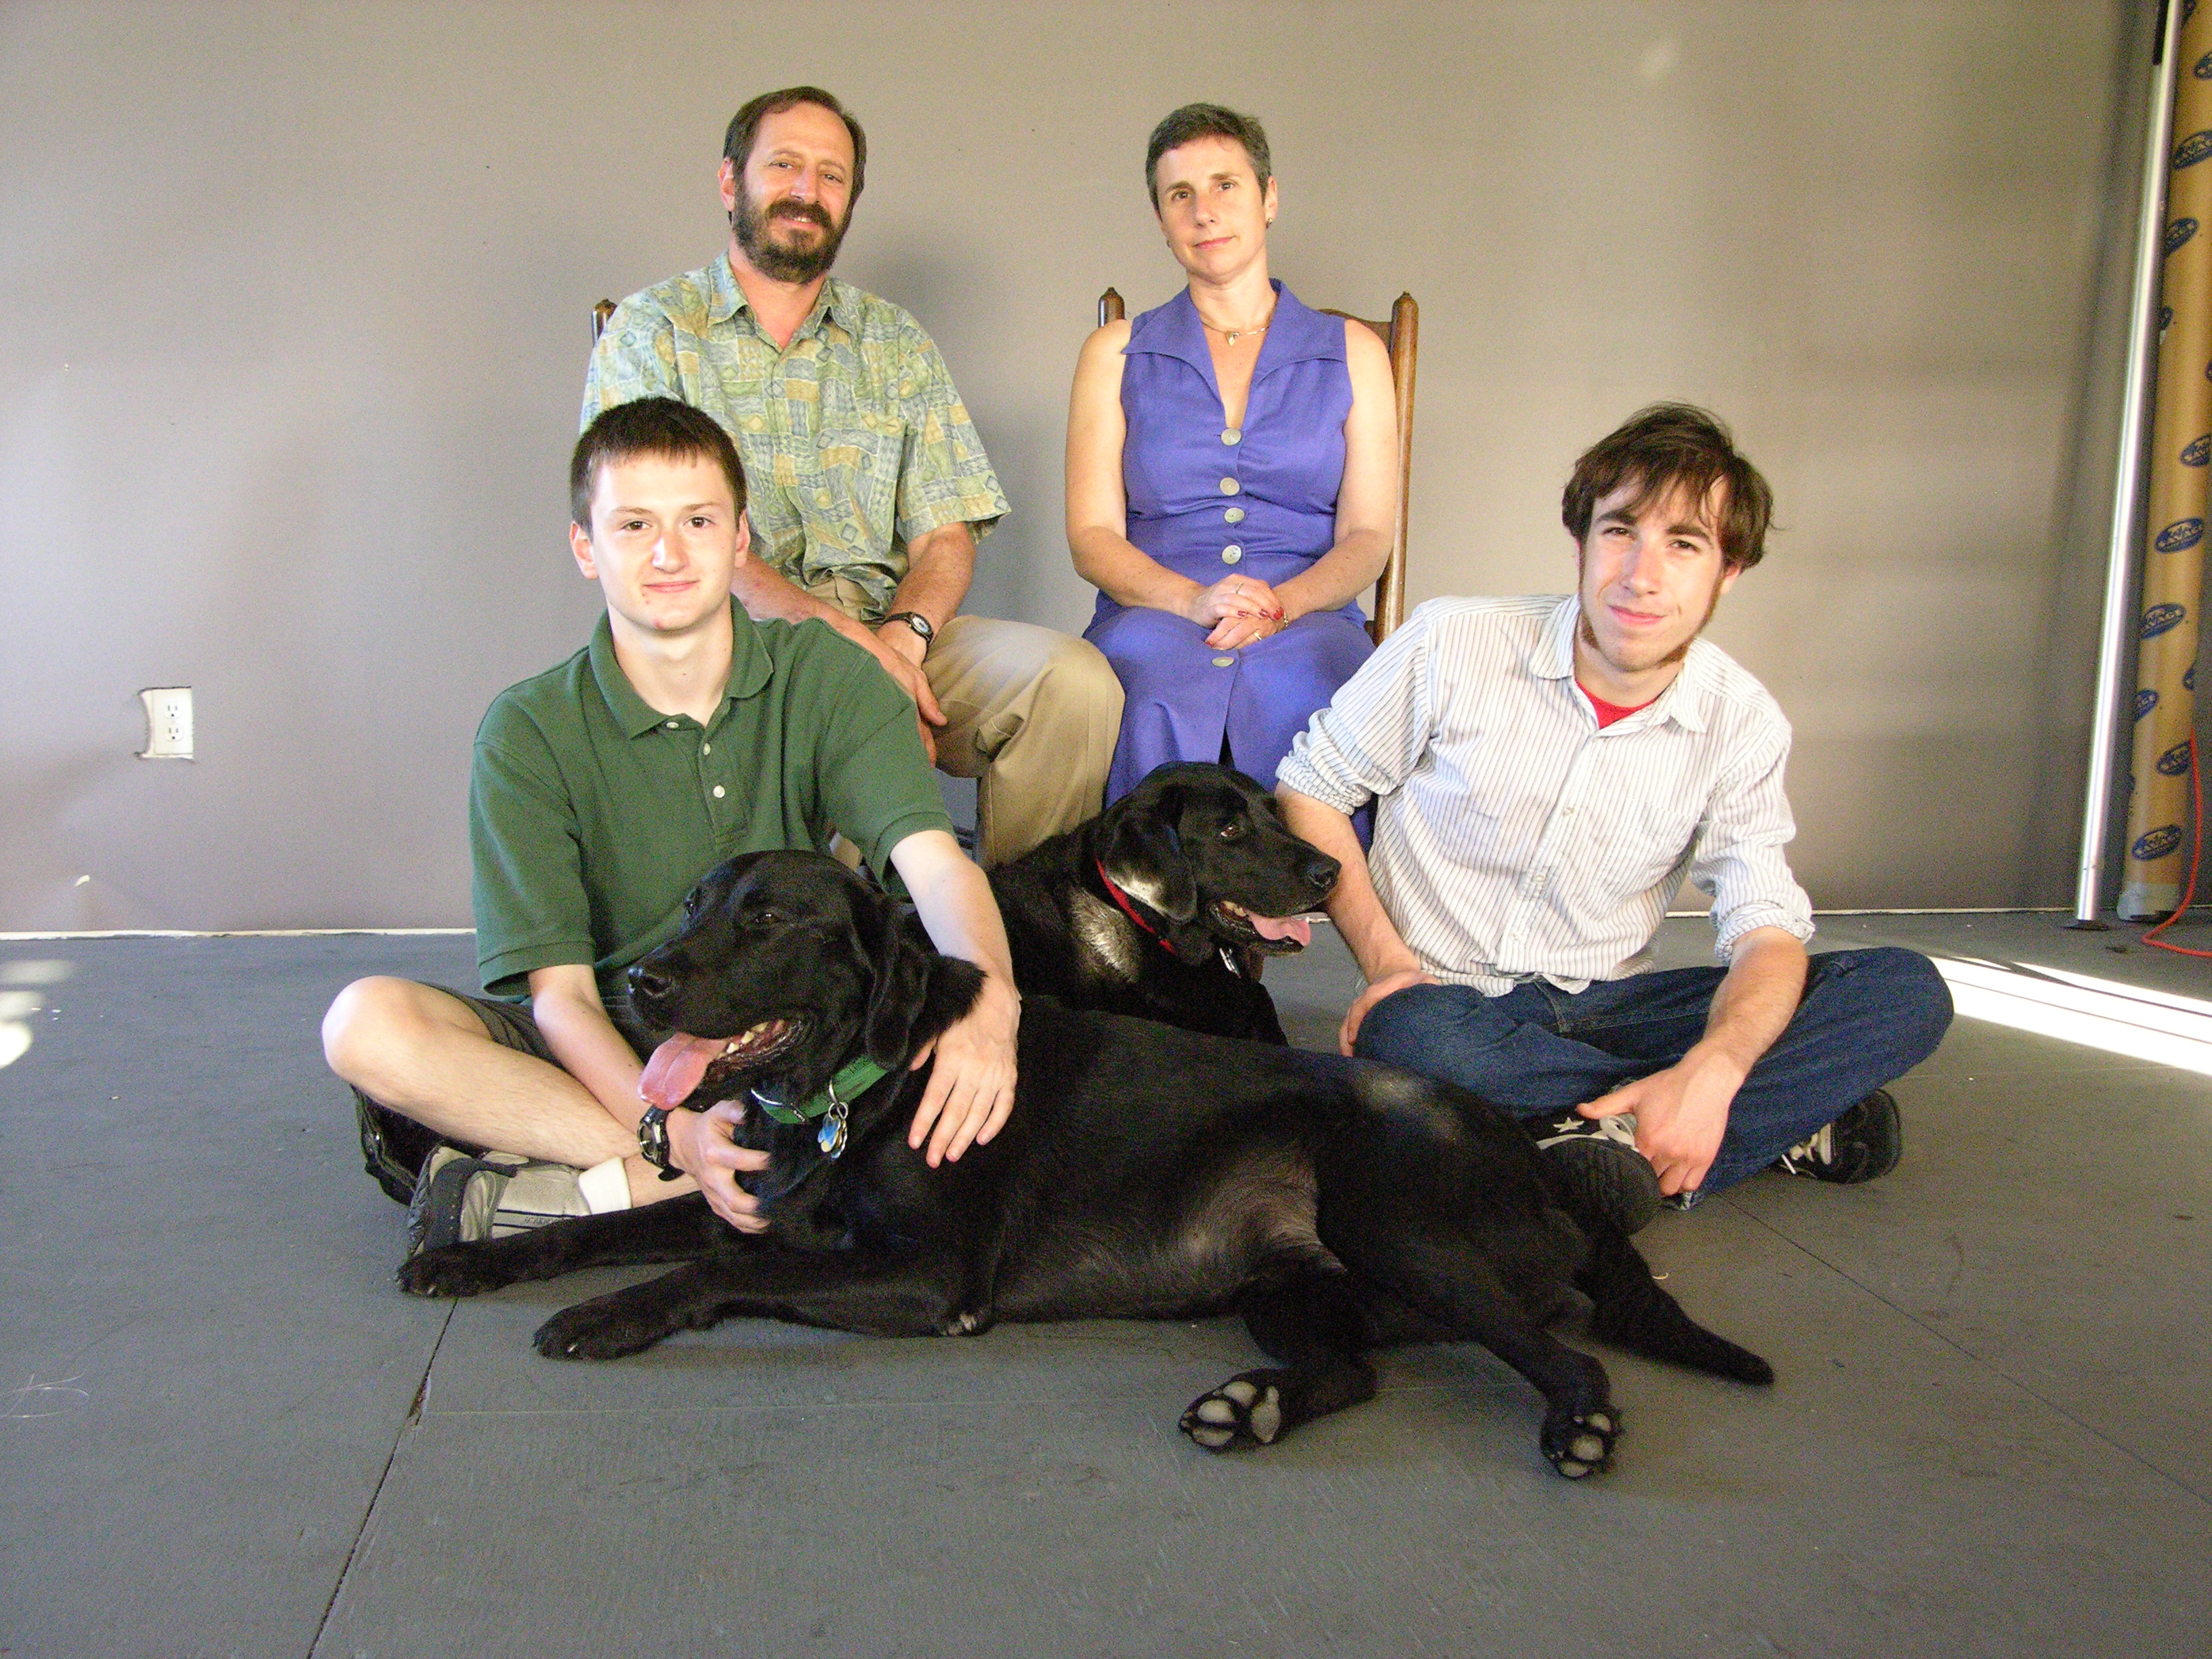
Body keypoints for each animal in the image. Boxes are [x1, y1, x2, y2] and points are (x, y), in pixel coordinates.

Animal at [400, 849, 1772, 1478]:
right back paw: (1248, 1405)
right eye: (691, 904)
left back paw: (1579, 1429)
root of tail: (1536, 1160)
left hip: (1399, 1224)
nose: (640, 979)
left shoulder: (925, 1279)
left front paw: (603, 1316)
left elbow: (705, 1275)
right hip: (1289, 1281)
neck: (862, 1083)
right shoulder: (755, 1213)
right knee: (1350, 1370)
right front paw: (476, 1258)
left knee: (1569, 1353)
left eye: (769, 919)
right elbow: (600, 1228)